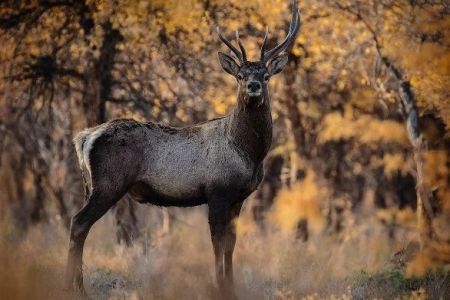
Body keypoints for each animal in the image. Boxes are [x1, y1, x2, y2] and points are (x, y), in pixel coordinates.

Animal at [65, 1, 300, 298]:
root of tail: (84, 137)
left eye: (266, 75)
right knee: (78, 222)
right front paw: (220, 288)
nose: (253, 86)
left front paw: (231, 288)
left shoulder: (239, 197)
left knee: (79, 224)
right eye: (240, 75)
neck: (247, 153)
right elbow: (218, 243)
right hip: (108, 184)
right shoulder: (217, 191)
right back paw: (75, 288)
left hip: (92, 185)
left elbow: (231, 244)